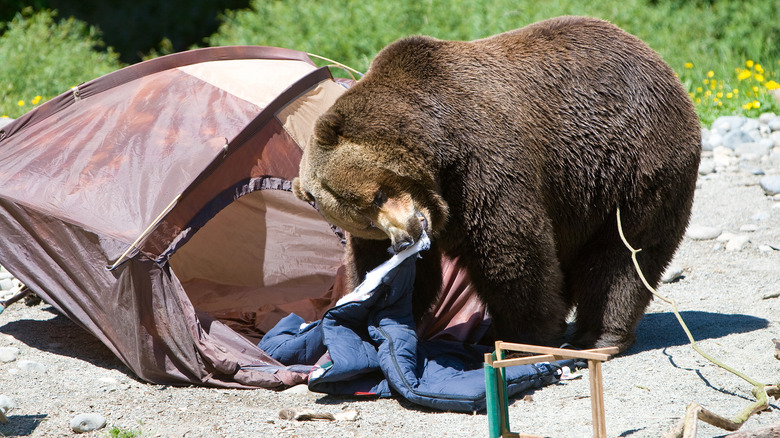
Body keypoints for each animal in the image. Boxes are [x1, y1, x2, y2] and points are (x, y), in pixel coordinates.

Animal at [290, 16, 700, 352]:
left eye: (378, 194)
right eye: (364, 219)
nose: (405, 237)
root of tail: (656, 58)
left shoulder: (481, 160)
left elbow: (510, 250)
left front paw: (522, 337)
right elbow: (392, 270)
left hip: (633, 161)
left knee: (625, 252)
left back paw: (598, 336)